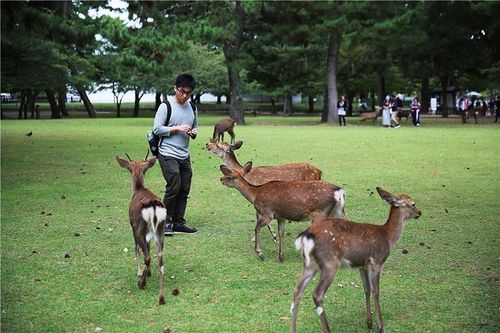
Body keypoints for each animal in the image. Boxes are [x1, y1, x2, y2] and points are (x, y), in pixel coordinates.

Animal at [116, 152, 167, 304]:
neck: (138, 189)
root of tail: (154, 206)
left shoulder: (132, 226)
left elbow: (136, 249)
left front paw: (139, 273)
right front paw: (149, 273)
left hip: (140, 228)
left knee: (147, 256)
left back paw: (141, 283)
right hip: (160, 230)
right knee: (160, 261)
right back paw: (161, 297)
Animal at [290, 187, 422, 332]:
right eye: (413, 203)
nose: (419, 213)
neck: (387, 236)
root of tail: (305, 236)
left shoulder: (362, 266)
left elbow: (366, 289)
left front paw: (369, 323)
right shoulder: (376, 261)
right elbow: (376, 292)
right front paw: (381, 326)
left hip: (310, 265)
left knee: (297, 291)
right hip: (329, 263)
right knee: (317, 294)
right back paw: (327, 329)